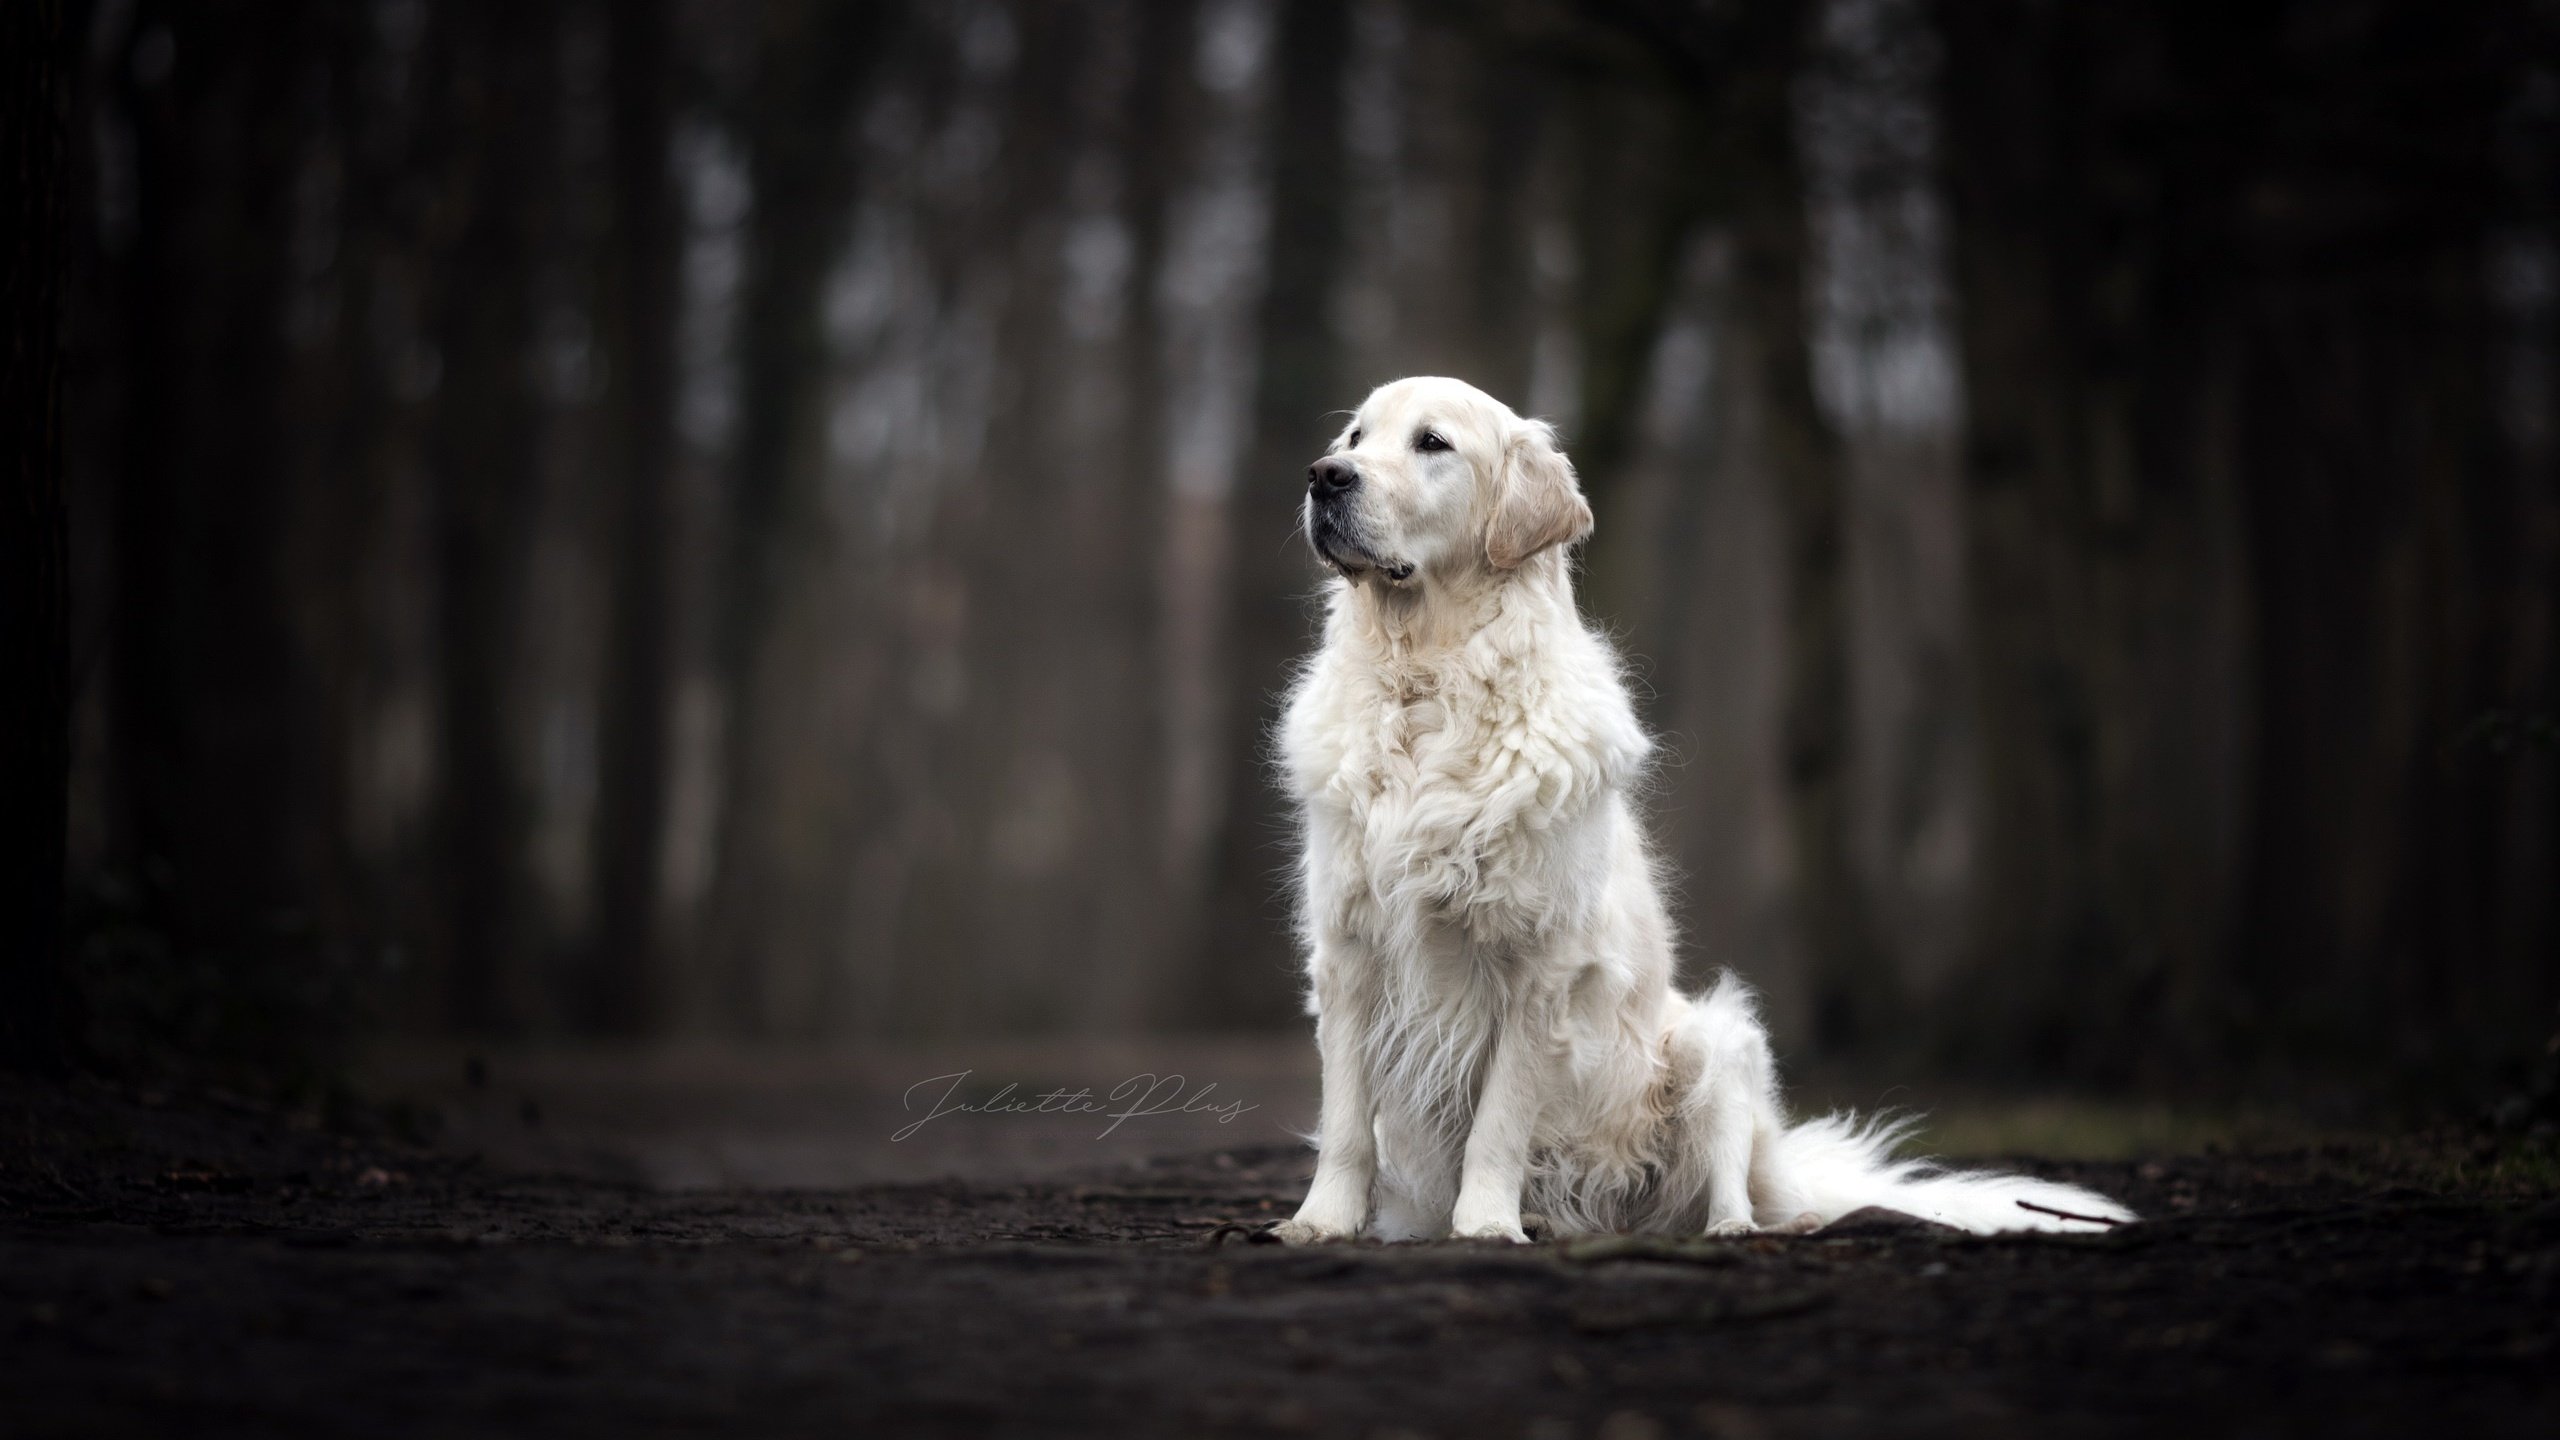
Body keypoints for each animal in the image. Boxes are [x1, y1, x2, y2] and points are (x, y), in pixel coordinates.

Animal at [1269, 376, 2129, 1240]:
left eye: (1432, 443)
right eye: (1354, 437)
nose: (1323, 476)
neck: (1427, 685)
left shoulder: (1539, 965)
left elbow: (1498, 1124)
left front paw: (1484, 1225)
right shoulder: (1346, 950)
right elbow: (1346, 1123)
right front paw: (1321, 1222)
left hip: (1716, 1042)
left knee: (1735, 1182)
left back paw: (1740, 1226)